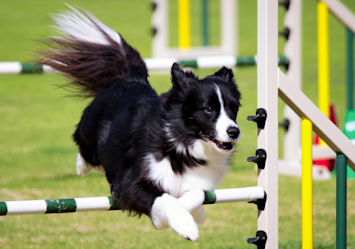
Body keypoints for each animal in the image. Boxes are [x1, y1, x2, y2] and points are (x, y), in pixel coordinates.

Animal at [39, 6, 242, 241]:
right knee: (85, 146)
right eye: (208, 109)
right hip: (90, 132)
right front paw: (185, 224)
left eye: (233, 108)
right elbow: (164, 198)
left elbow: (196, 193)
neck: (181, 142)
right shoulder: (130, 182)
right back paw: (81, 166)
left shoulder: (196, 181)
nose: (234, 131)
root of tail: (130, 77)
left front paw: (193, 214)